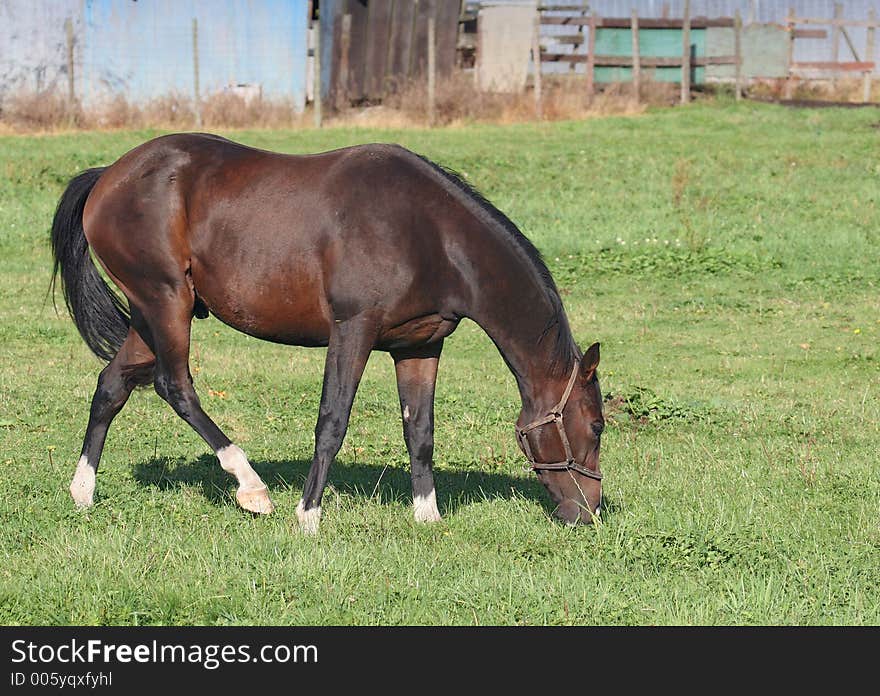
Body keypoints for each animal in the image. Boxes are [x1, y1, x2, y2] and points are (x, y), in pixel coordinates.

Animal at [51, 133, 604, 532]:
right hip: (167, 303)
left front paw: (428, 516)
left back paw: (83, 493)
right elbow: (332, 423)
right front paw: (309, 516)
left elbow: (420, 430)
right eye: (597, 427)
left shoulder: (421, 344)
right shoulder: (352, 331)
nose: (590, 512)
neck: (430, 234)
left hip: (150, 314)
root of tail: (107, 177)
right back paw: (251, 487)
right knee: (175, 386)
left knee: (111, 385)